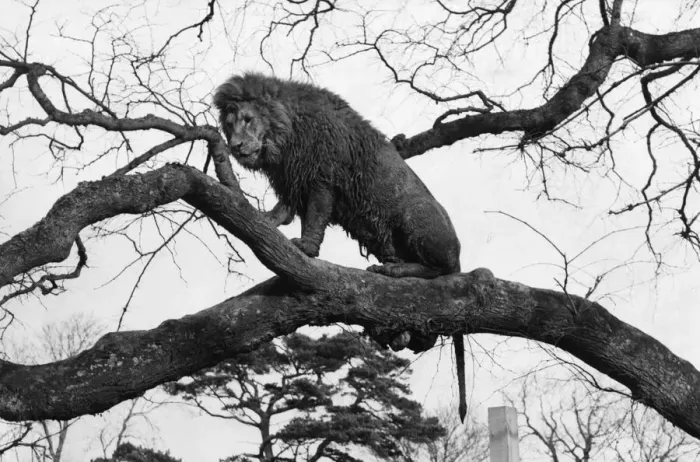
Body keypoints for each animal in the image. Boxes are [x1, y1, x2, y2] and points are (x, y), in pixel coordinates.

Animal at [213, 73, 467, 420]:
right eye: (229, 125)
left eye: (248, 119)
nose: (236, 147)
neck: (286, 135)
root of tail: (459, 253)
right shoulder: (292, 181)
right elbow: (283, 212)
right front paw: (263, 219)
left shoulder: (321, 176)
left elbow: (315, 217)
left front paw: (306, 248)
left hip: (415, 214)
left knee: (438, 269)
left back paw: (393, 269)